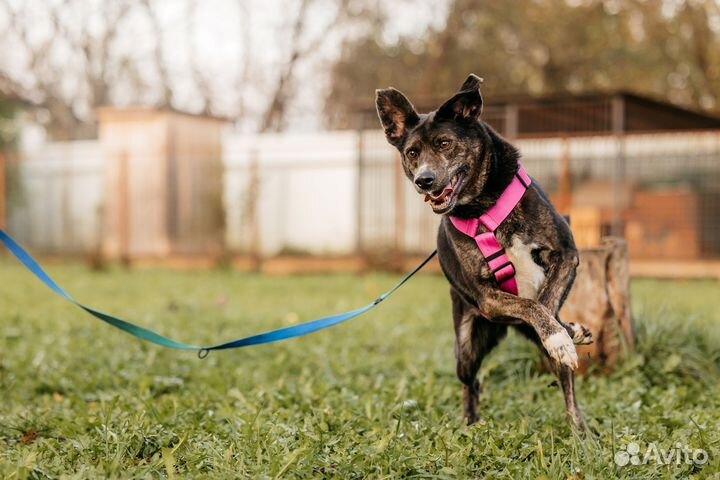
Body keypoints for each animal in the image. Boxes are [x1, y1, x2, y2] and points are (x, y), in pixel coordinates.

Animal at [376, 74, 592, 428]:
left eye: (445, 143)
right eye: (411, 152)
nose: (424, 180)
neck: (484, 207)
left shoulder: (566, 254)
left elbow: (544, 303)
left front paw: (561, 334)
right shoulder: (488, 297)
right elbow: (531, 305)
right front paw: (559, 333)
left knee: (568, 388)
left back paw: (579, 428)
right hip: (466, 347)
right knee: (471, 382)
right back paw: (470, 423)